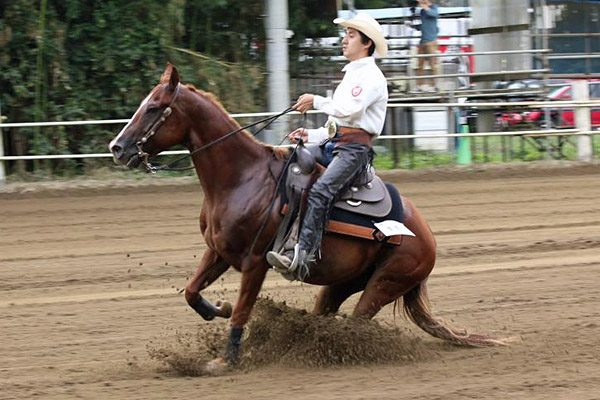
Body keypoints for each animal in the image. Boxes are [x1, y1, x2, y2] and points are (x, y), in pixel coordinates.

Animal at [109, 64, 505, 372]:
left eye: (154, 108)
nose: (117, 148)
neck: (241, 177)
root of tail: (427, 236)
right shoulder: (219, 251)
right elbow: (192, 292)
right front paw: (217, 309)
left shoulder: (255, 262)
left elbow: (243, 311)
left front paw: (225, 359)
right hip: (341, 283)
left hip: (385, 282)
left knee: (356, 323)